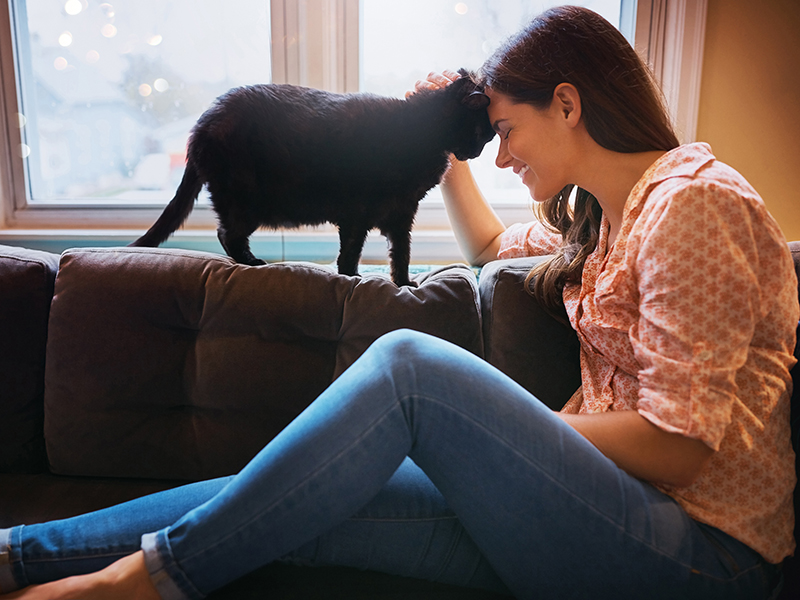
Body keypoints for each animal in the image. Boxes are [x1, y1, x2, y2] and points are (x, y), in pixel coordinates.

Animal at [130, 69, 494, 288]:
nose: (476, 153)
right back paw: (252, 262)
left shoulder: (402, 214)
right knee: (227, 233)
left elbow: (401, 253)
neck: (424, 130)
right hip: (245, 200)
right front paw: (352, 279)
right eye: (486, 133)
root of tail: (202, 122)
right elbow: (350, 252)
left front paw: (403, 284)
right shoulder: (356, 214)